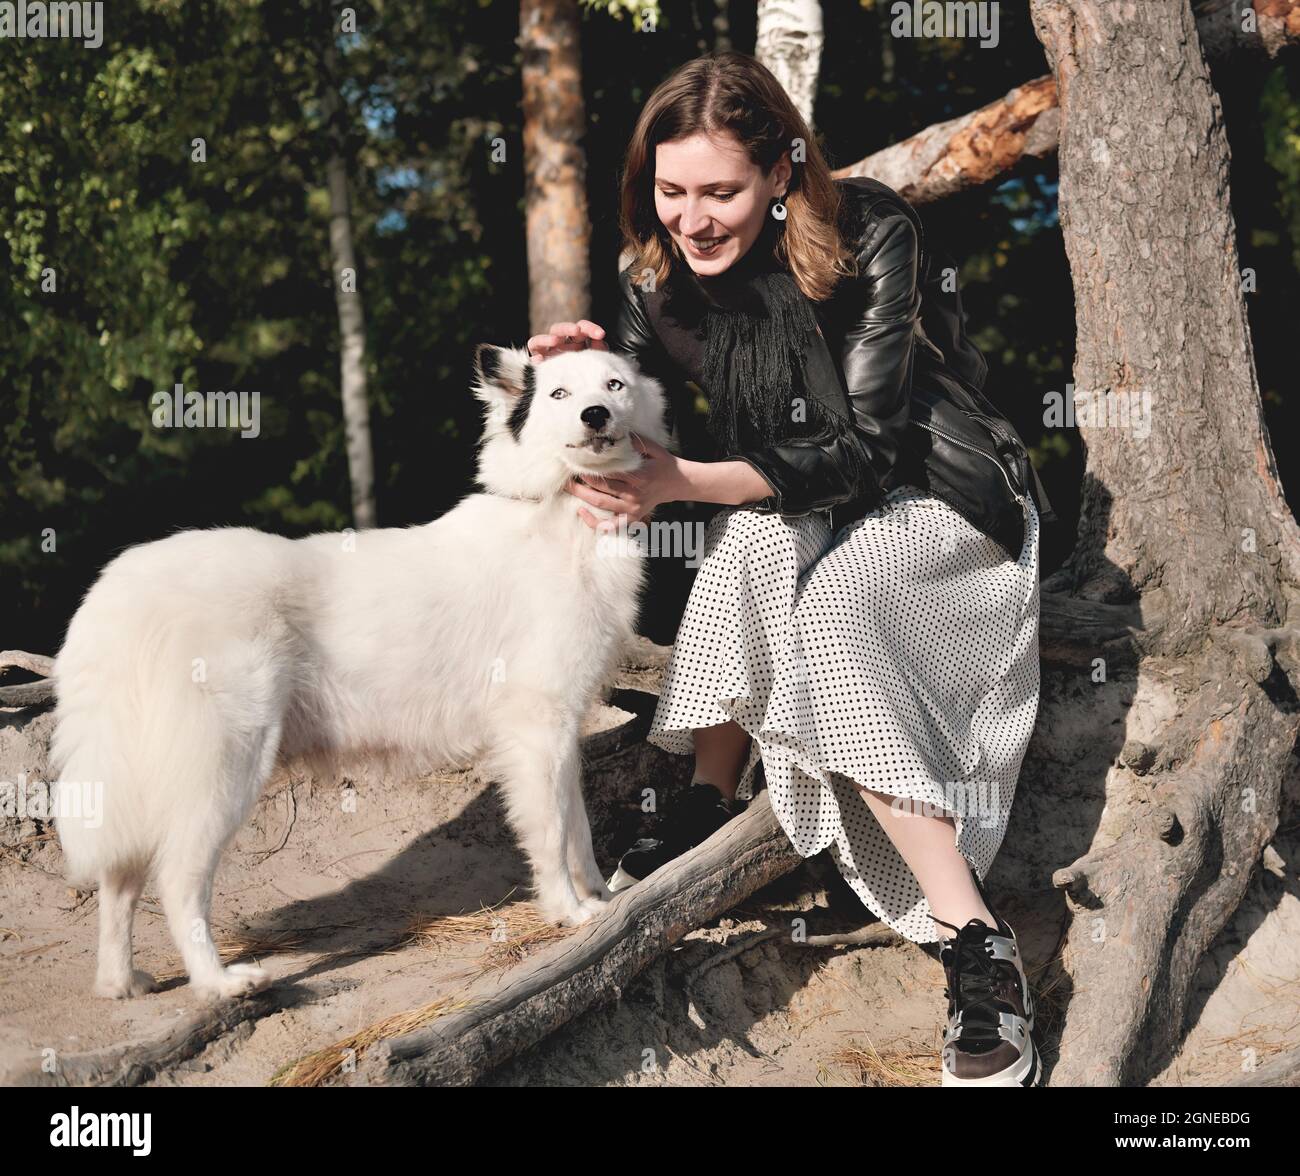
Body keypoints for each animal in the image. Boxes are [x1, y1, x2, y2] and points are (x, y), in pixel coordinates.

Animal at [49, 345, 670, 997]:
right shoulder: (537, 726)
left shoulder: (561, 732)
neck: (561, 507)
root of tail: (120, 585)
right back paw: (220, 983)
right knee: (175, 880)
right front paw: (569, 913)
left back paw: (122, 982)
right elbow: (551, 833)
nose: (596, 415)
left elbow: (578, 829)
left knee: (118, 881)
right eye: (558, 394)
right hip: (224, 769)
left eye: (614, 385)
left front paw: (599, 898)